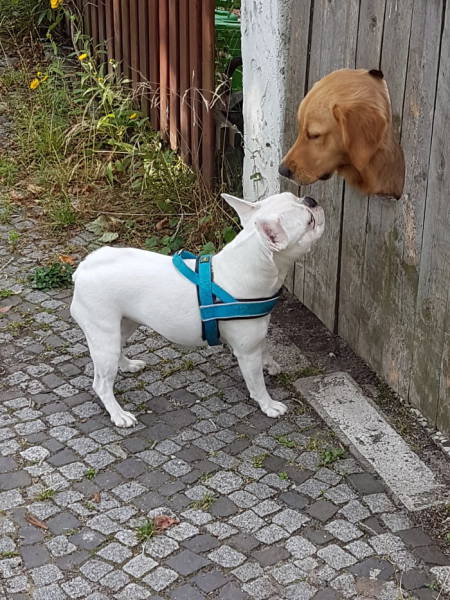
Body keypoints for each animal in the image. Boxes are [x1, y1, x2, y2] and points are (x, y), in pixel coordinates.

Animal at [69, 192, 324, 426]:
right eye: (309, 221)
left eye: (296, 196)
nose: (311, 200)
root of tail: (82, 270)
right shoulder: (246, 352)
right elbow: (256, 382)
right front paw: (268, 405)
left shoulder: (255, 338)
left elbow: (266, 347)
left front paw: (270, 363)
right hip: (104, 336)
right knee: (101, 383)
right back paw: (118, 414)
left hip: (124, 324)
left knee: (119, 347)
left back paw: (128, 365)